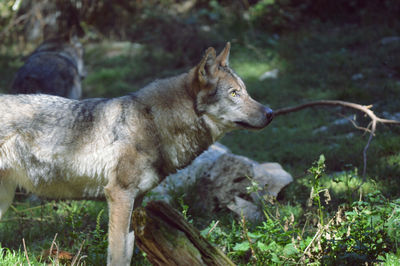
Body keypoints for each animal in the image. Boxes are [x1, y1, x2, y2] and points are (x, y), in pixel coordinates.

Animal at [0, 42, 272, 264]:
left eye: (246, 91)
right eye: (234, 93)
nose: (270, 113)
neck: (153, 122)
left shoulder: (135, 203)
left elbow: (128, 254)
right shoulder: (119, 196)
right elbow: (118, 255)